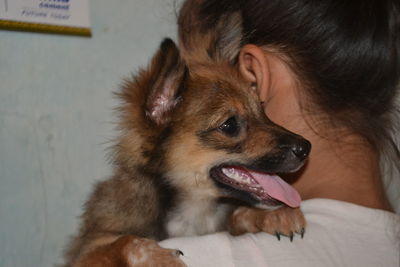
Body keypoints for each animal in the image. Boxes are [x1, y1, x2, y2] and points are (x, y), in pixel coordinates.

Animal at [62, 38, 310, 267]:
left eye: (263, 110)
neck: (194, 211)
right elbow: (126, 241)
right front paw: (159, 257)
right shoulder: (85, 253)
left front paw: (273, 214)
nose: (306, 148)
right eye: (229, 125)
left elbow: (237, 214)